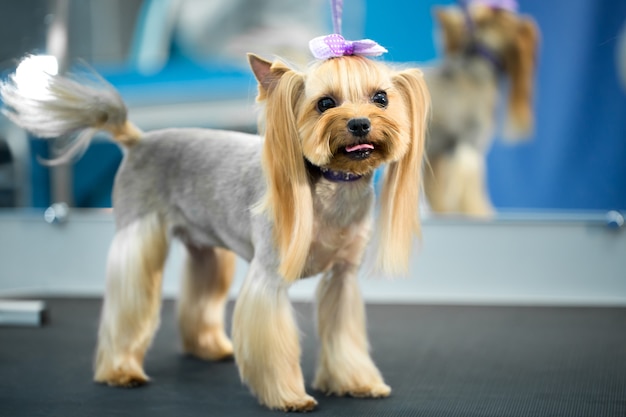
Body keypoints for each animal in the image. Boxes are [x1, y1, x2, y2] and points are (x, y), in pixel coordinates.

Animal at [0, 51, 428, 410]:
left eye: (381, 98)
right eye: (325, 103)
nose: (359, 123)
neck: (334, 185)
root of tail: (138, 140)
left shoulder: (342, 278)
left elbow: (344, 336)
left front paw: (356, 382)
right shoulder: (268, 277)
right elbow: (272, 337)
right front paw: (288, 396)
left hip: (205, 247)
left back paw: (207, 347)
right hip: (137, 236)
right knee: (128, 302)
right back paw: (120, 370)